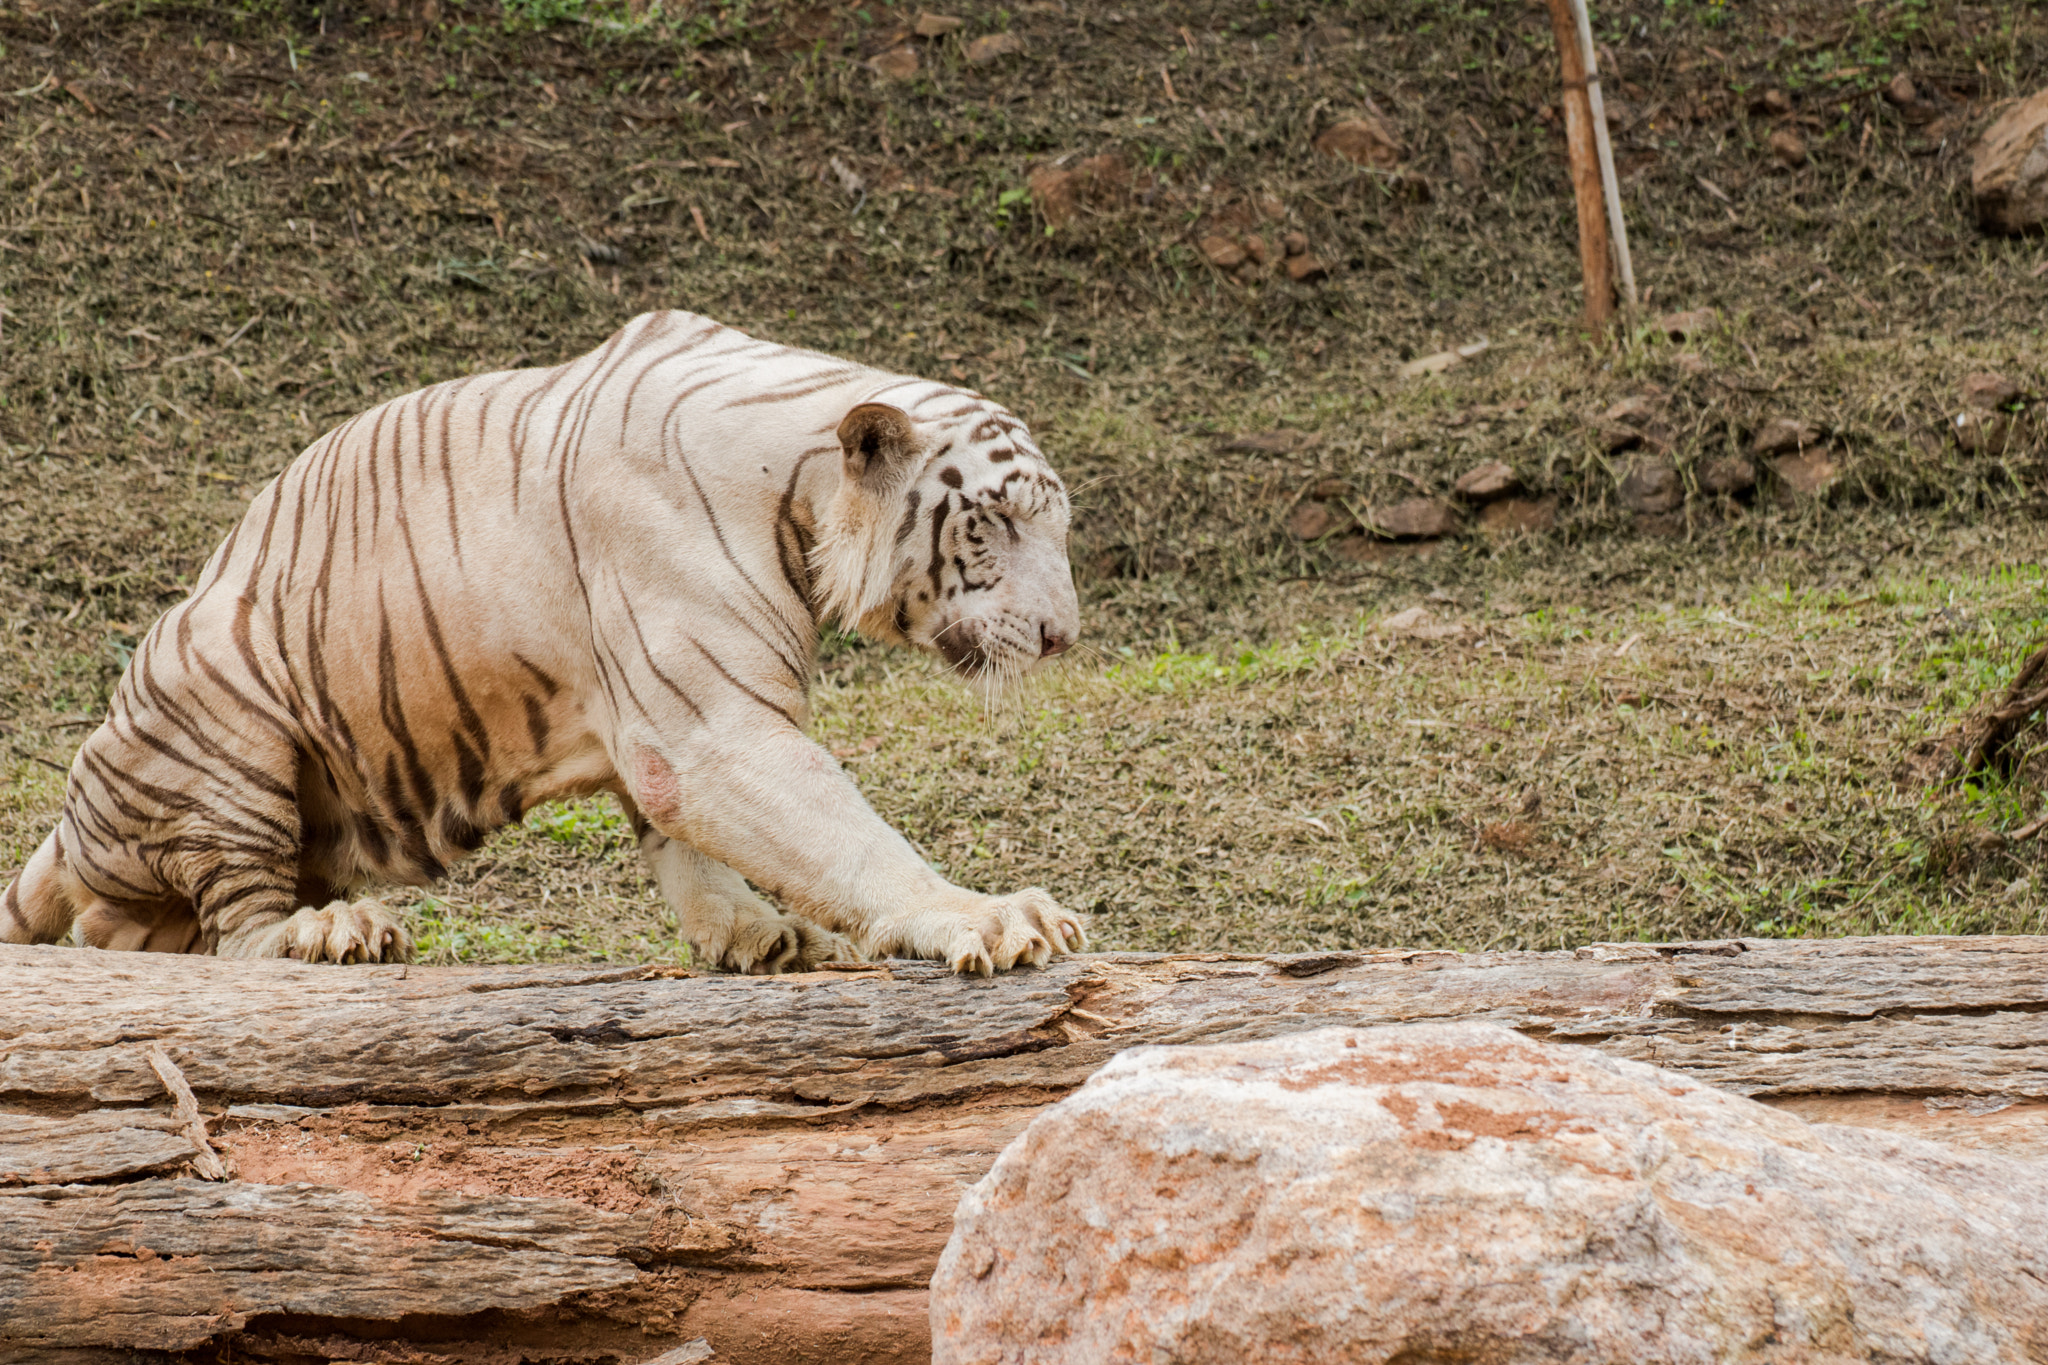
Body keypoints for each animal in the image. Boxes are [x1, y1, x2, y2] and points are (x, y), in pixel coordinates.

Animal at [0, 310, 1088, 976]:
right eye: (994, 523)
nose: (1062, 636)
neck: (798, 498)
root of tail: (78, 808)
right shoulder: (713, 728)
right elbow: (844, 835)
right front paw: (987, 914)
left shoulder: (660, 719)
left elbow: (686, 849)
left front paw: (755, 932)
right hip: (226, 717)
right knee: (239, 933)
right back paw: (334, 929)